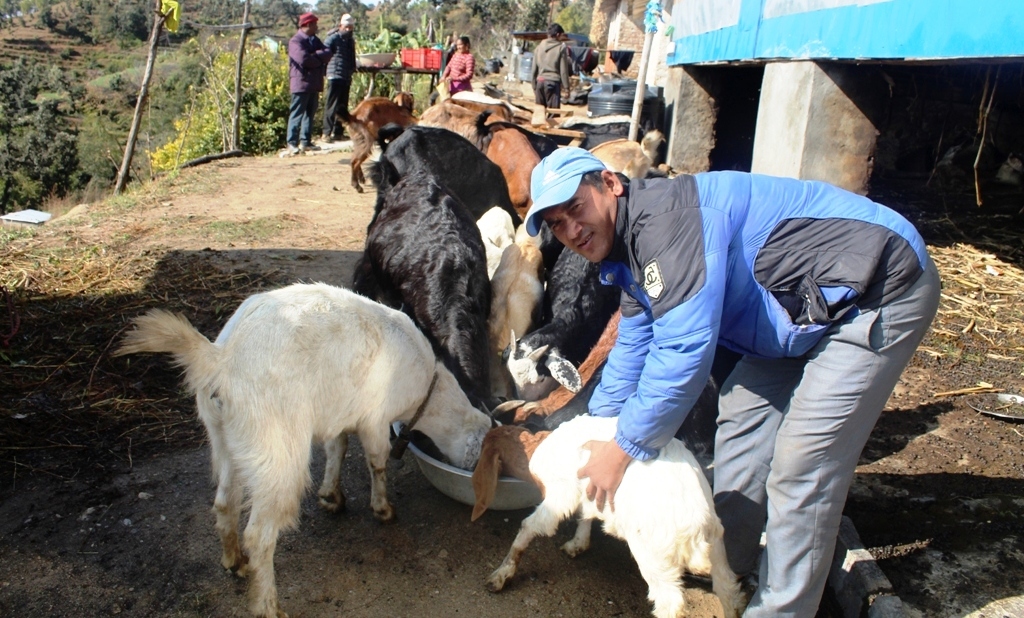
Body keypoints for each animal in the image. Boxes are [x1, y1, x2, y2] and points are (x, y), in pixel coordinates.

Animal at [115, 284, 491, 618]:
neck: (428, 387)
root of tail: (221, 359)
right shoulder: (374, 418)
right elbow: (377, 462)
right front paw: (383, 509)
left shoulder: (341, 412)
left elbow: (337, 448)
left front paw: (331, 495)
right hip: (275, 449)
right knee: (260, 534)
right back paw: (268, 606)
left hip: (226, 438)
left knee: (225, 502)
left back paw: (235, 562)